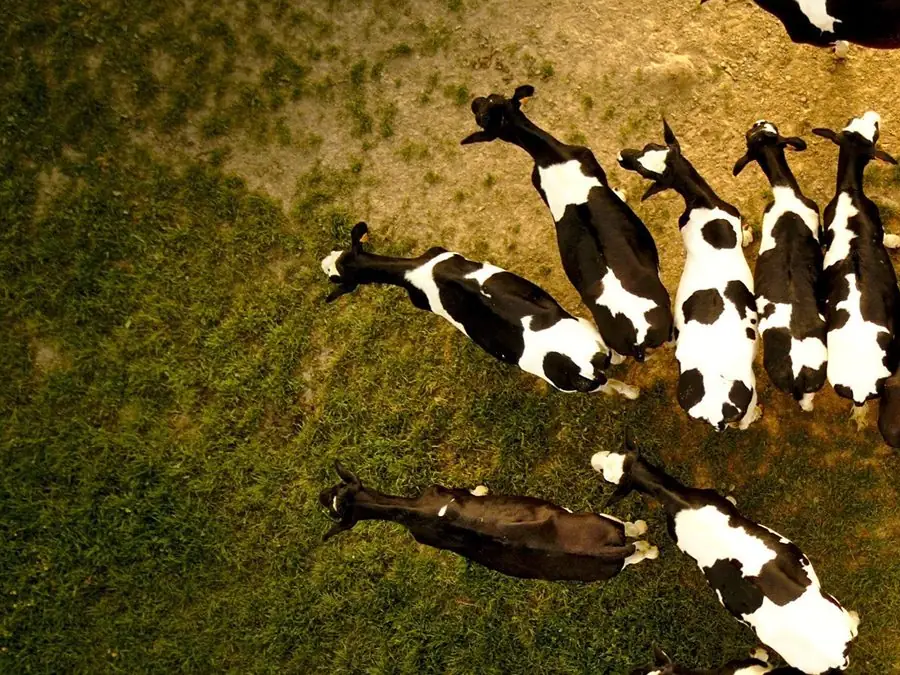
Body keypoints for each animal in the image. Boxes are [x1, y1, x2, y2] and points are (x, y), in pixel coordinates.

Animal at [319, 461, 658, 581]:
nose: (321, 496)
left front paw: (481, 489)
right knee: (637, 544)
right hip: (604, 538)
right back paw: (646, 534)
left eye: (337, 488)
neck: (413, 510)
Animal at [321, 221, 639, 397]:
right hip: (586, 327)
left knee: (610, 386)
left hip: (568, 383)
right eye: (338, 254)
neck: (414, 270)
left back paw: (632, 392)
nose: (323, 261)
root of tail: (582, 363)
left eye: (334, 275)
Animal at [618, 121, 760, 431]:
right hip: (749, 390)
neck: (702, 203)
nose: (622, 155)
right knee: (745, 420)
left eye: (651, 148)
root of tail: (715, 409)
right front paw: (747, 236)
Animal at [812, 112, 900, 428]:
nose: (874, 115)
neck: (849, 191)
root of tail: (860, 386)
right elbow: (886, 235)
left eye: (854, 123)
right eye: (874, 133)